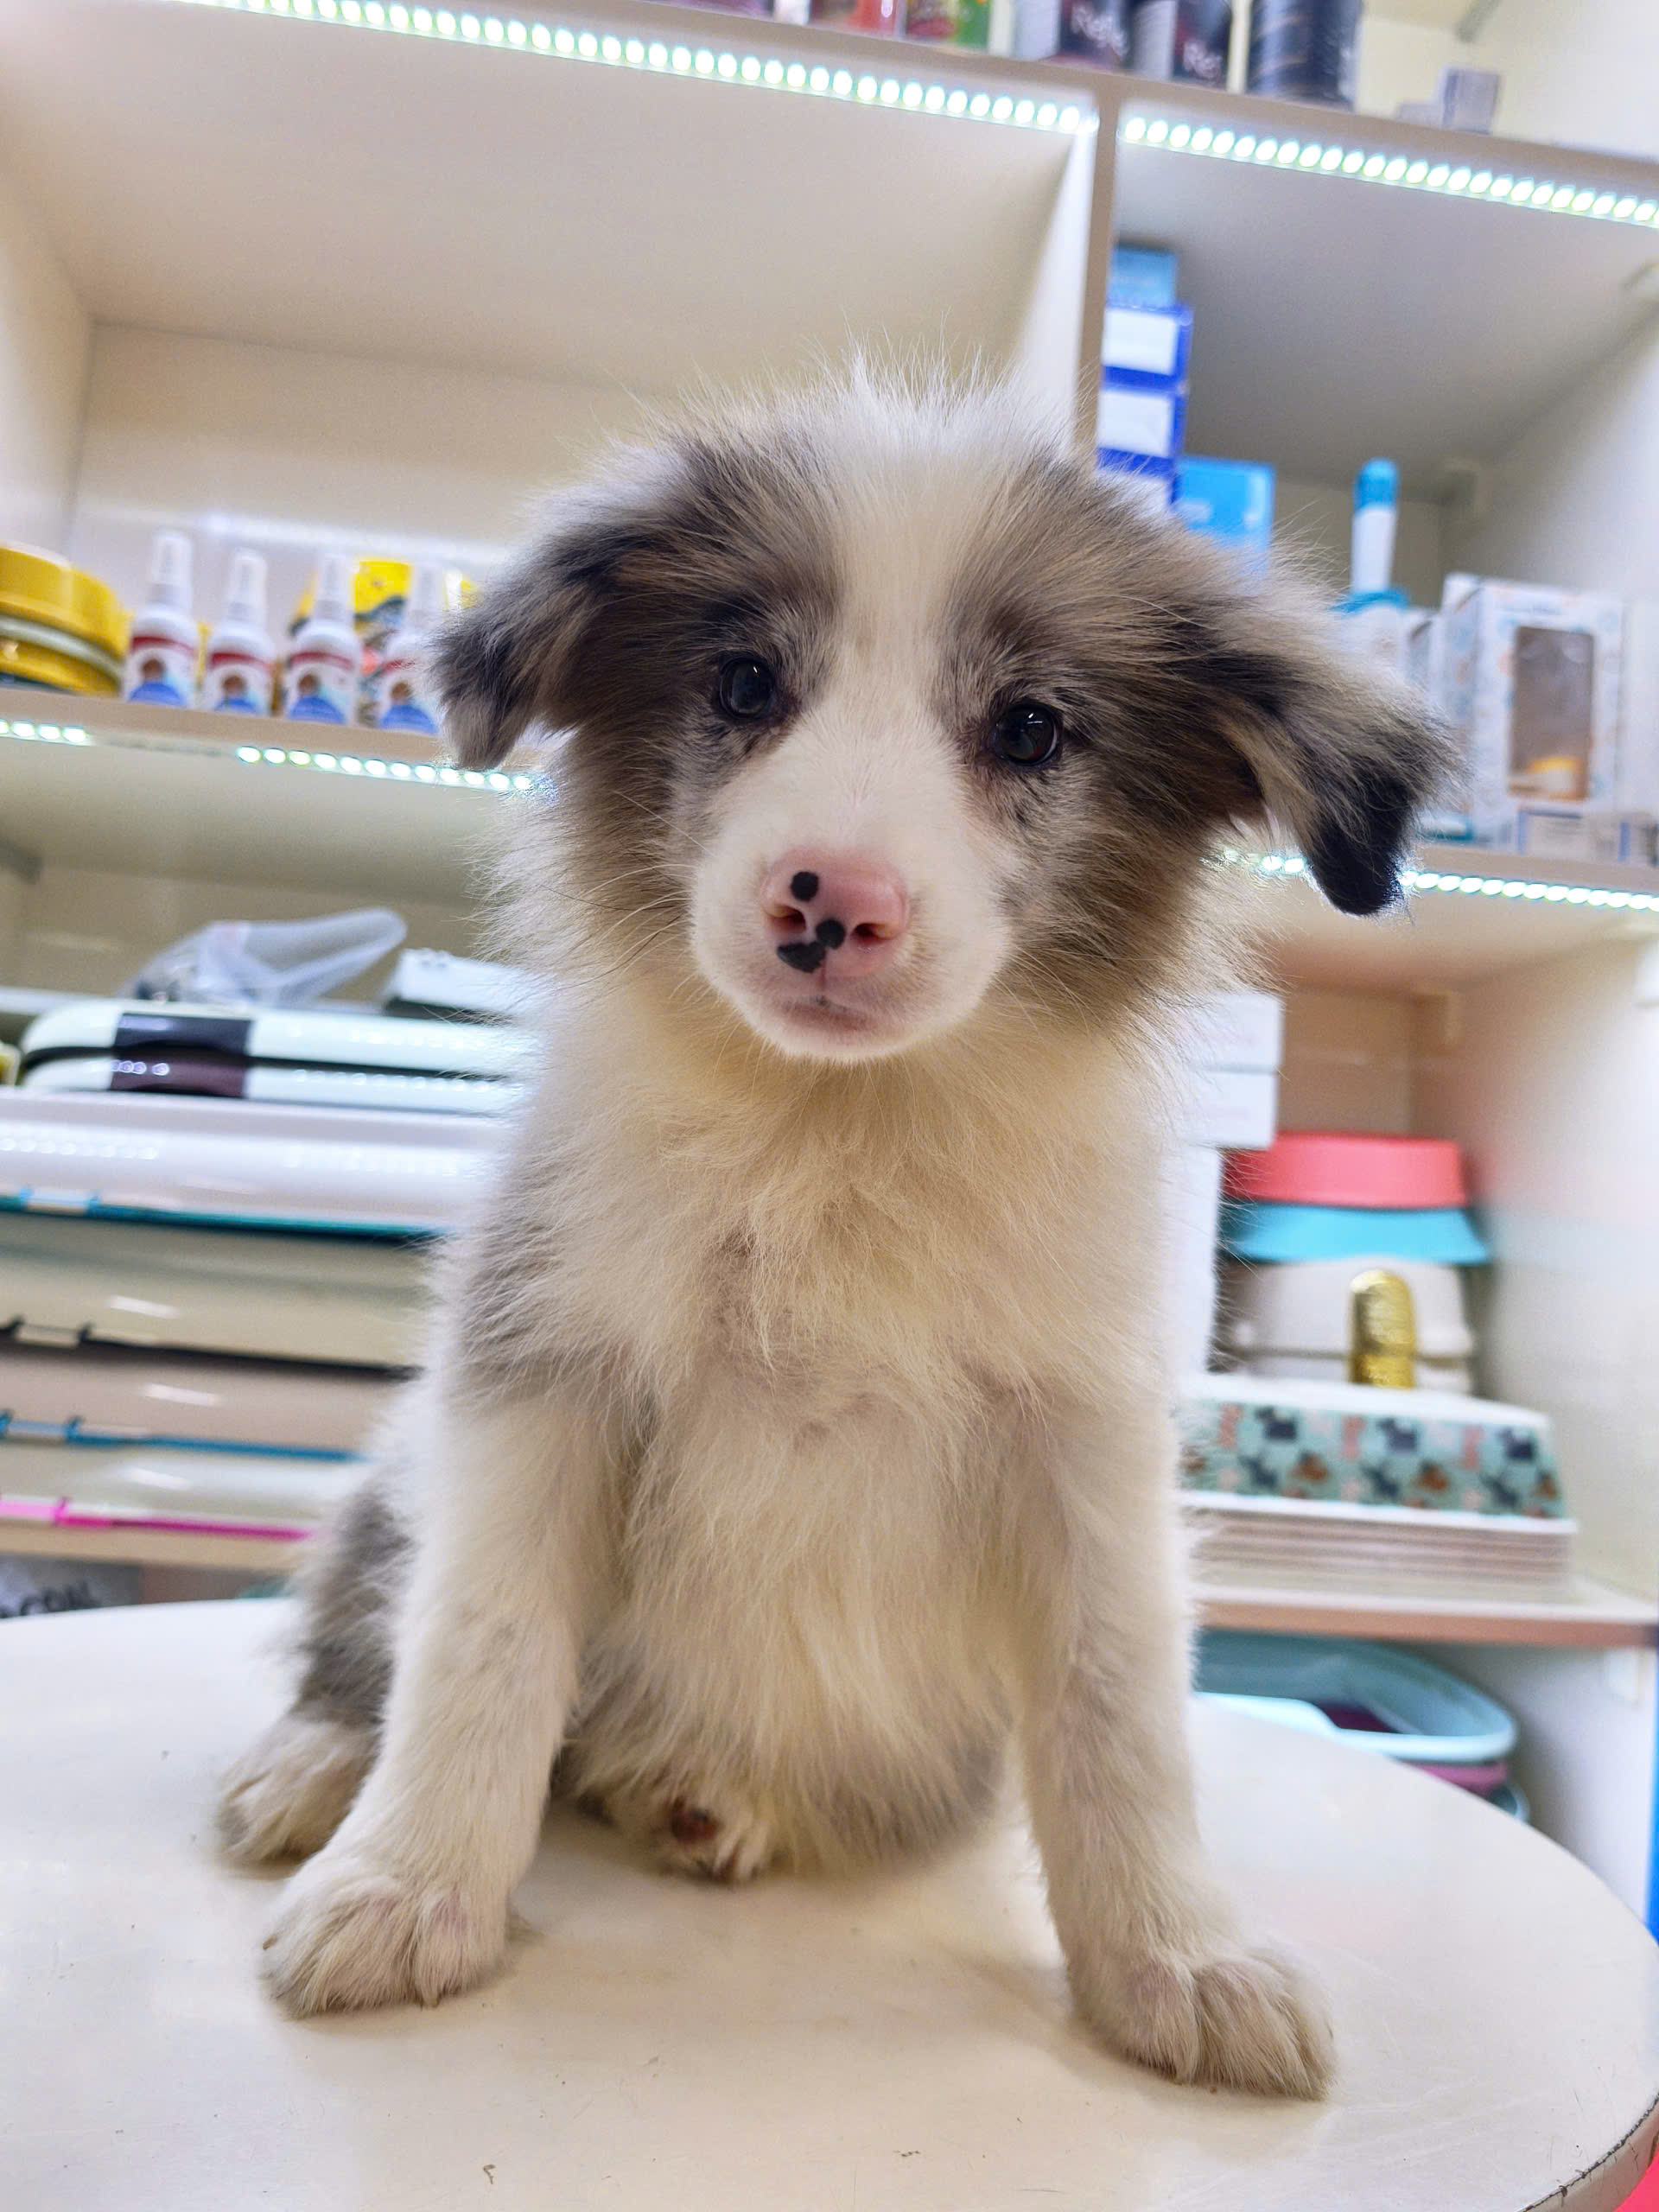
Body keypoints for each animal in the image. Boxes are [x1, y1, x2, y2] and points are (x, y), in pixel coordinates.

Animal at [220, 374, 1444, 2097]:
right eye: (744, 683)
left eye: (1031, 727)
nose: (832, 902)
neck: (839, 1139)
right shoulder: (540, 1369)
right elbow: (479, 1646)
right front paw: (405, 1896)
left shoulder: (1086, 1440)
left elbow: (1120, 1711)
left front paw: (1181, 1963)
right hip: (392, 1474)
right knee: (360, 1641)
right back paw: (313, 1772)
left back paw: (706, 1795)